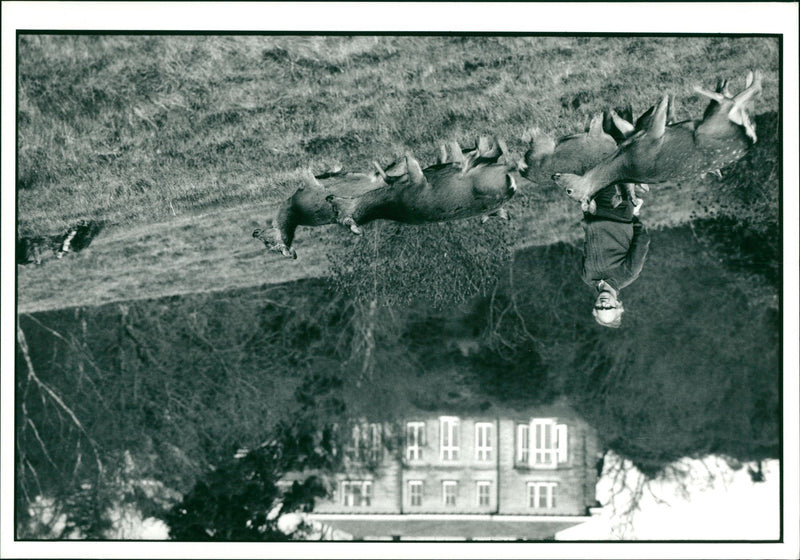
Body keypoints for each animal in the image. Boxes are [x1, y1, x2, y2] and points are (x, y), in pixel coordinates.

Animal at [552, 71, 760, 207]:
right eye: (569, 192)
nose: (554, 176)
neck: (624, 159)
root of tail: (748, 139)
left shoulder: (637, 133)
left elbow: (631, 122)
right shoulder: (652, 139)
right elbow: (658, 115)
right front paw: (666, 96)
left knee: (738, 103)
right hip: (712, 126)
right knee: (731, 101)